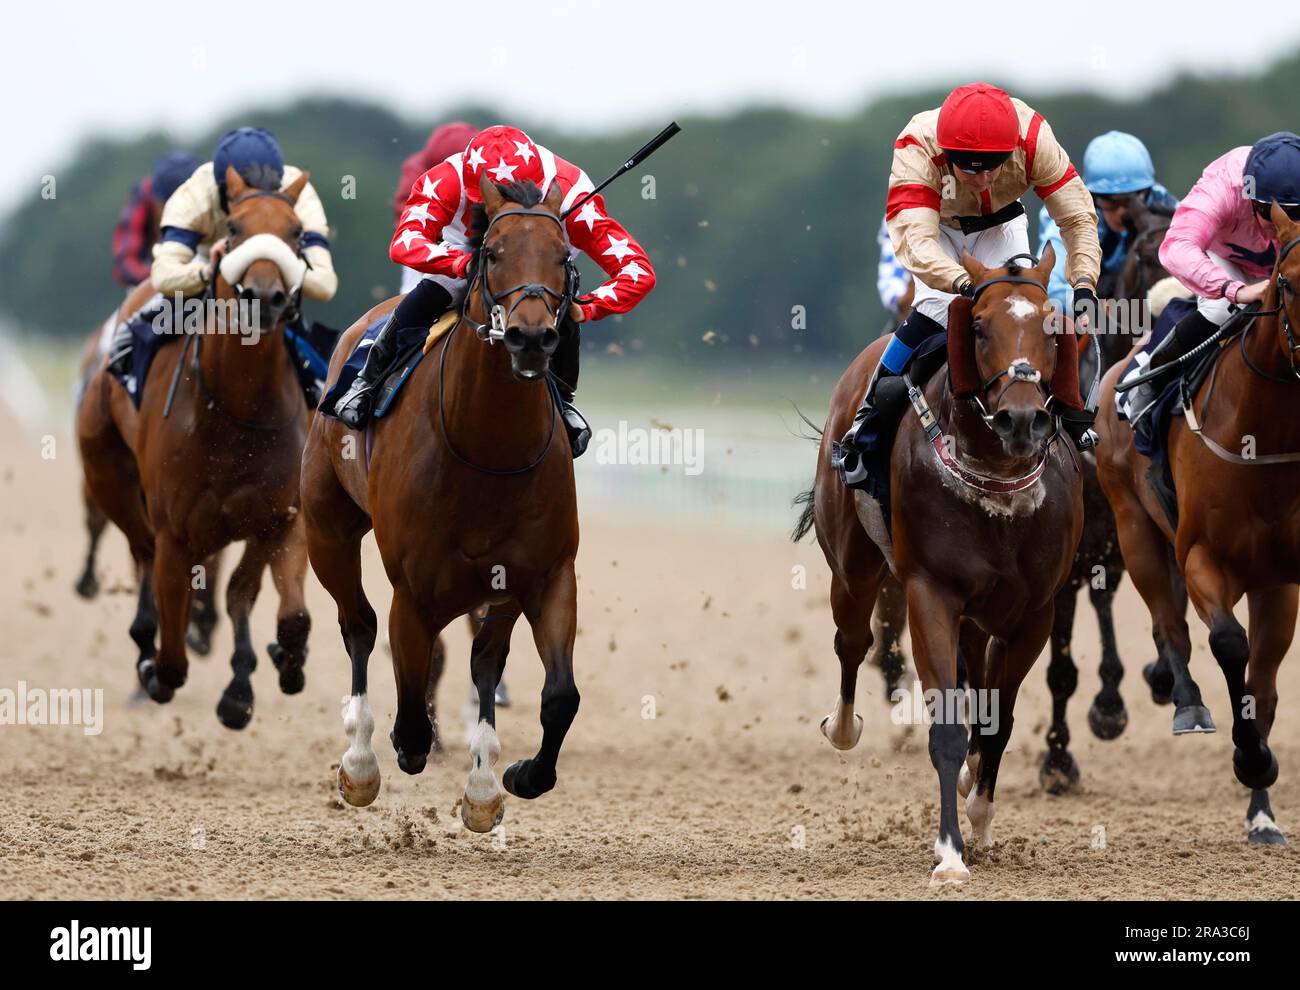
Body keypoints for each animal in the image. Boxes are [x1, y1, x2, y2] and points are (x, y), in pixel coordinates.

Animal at [79, 167, 317, 727]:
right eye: (233, 226)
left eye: (297, 232)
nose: (264, 296)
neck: (239, 407)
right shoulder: (177, 534)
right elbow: (171, 661)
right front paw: (154, 666)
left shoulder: (279, 518)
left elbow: (281, 611)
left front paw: (268, 671)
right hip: (110, 476)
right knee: (140, 551)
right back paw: (142, 635)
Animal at [304, 174, 579, 831]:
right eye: (494, 253)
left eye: (563, 257)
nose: (533, 337)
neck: (488, 450)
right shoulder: (414, 589)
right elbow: (408, 710)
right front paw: (393, 753)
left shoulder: (544, 575)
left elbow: (555, 693)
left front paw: (510, 779)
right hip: (326, 529)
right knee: (357, 624)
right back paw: (359, 762)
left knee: (481, 662)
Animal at [790, 246, 1086, 878]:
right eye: (978, 328)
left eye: (1053, 328)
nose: (1020, 419)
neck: (996, 482)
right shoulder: (931, 592)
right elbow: (947, 723)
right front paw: (950, 853)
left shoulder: (1034, 613)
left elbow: (996, 720)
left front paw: (980, 814)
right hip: (853, 568)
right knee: (853, 643)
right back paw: (844, 726)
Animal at [1092, 200, 1300, 841]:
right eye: (1287, 282)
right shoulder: (1203, 556)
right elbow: (1228, 644)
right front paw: (1251, 758)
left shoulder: (1280, 580)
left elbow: (1264, 687)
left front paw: (1262, 807)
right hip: (1133, 529)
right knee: (1169, 626)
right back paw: (1185, 701)